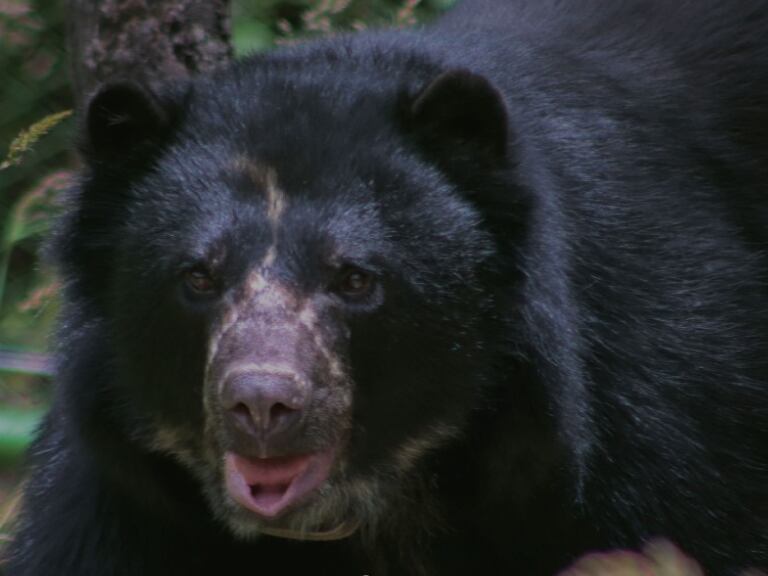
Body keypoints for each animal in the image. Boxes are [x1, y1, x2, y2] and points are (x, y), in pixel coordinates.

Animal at [5, 0, 768, 574]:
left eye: (354, 279)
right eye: (197, 277)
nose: (260, 404)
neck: (377, 503)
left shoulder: (659, 416)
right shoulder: (123, 506)